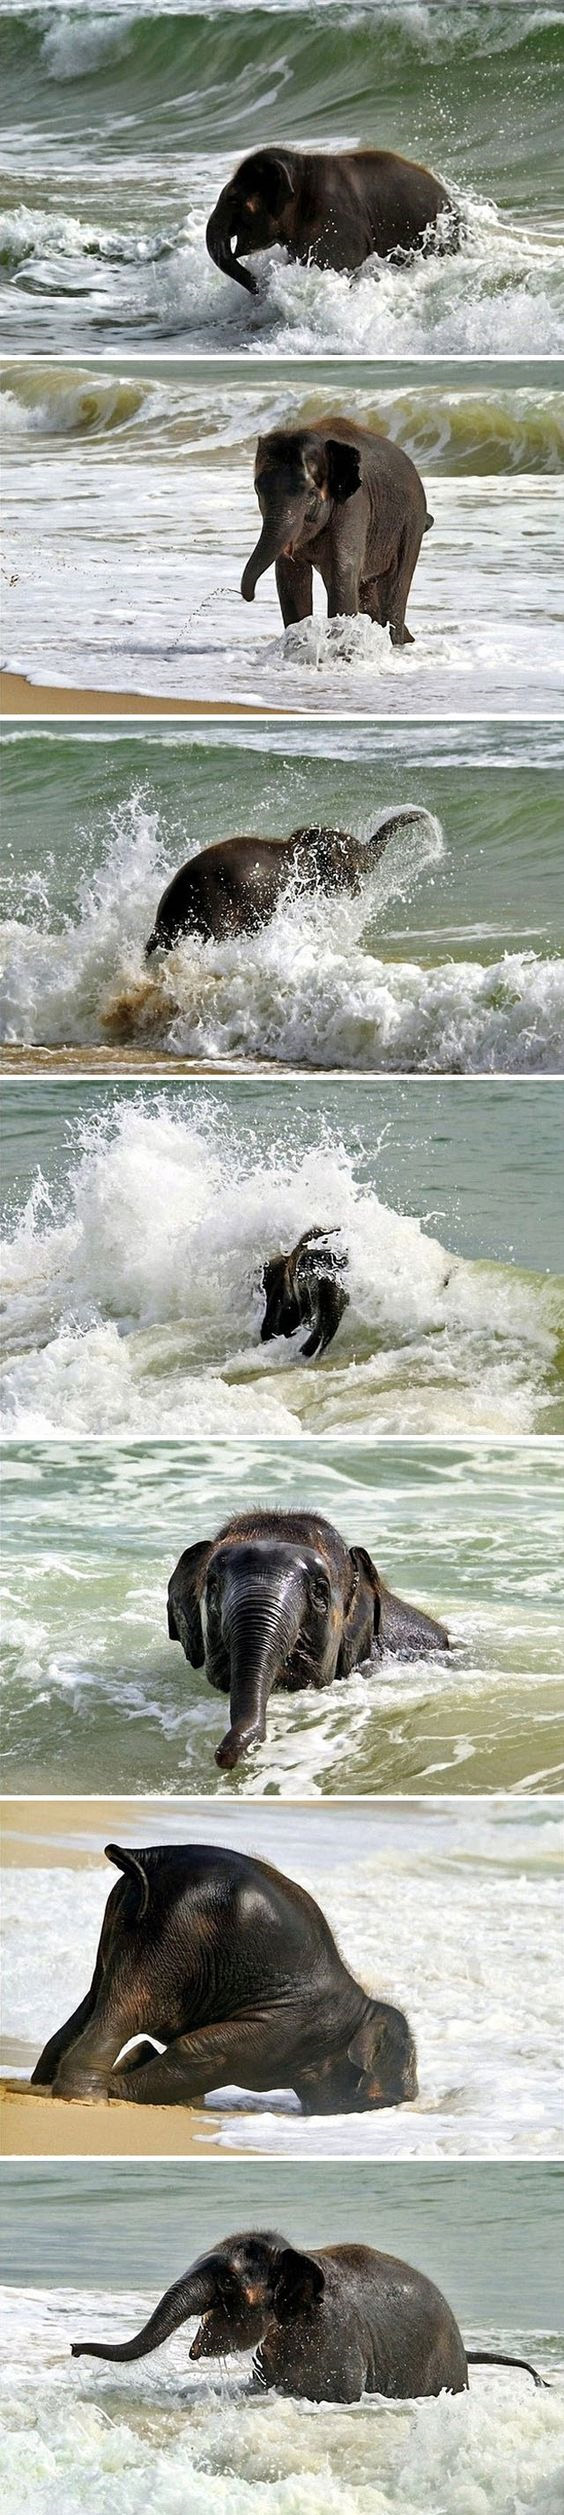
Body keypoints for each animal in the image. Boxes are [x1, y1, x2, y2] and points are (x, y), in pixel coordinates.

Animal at [30, 1839, 417, 2112]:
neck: (361, 2009)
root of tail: (152, 1856)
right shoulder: (286, 2031)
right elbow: (204, 2052)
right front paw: (121, 2084)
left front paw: (140, 2067)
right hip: (173, 1937)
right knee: (129, 2007)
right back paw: (87, 2097)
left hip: (124, 1921)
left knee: (95, 1998)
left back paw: (43, 2084)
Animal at [241, 415, 432, 645]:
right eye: (257, 490)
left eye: (311, 494)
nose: (250, 597)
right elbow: (290, 576)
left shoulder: (353, 504)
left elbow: (342, 571)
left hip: (410, 523)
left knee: (395, 584)